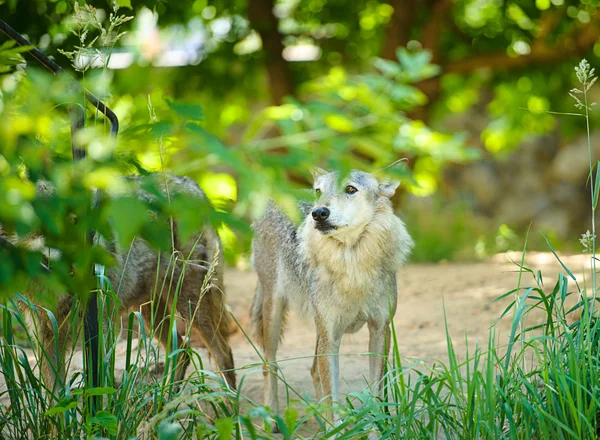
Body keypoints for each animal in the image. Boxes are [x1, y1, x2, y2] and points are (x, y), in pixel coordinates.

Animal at [9, 174, 234, 396]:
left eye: (76, 224)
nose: (83, 264)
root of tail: (195, 186)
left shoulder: (99, 329)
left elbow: (100, 387)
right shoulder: (47, 339)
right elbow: (55, 399)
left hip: (190, 305)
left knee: (223, 353)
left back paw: (230, 403)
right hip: (151, 314)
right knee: (182, 351)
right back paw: (165, 403)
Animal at [248, 168, 412, 420]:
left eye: (351, 189)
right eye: (319, 191)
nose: (318, 213)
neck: (352, 266)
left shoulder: (379, 331)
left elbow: (376, 395)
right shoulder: (331, 336)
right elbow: (332, 401)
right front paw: (336, 426)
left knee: (313, 370)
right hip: (274, 312)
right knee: (269, 365)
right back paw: (272, 419)